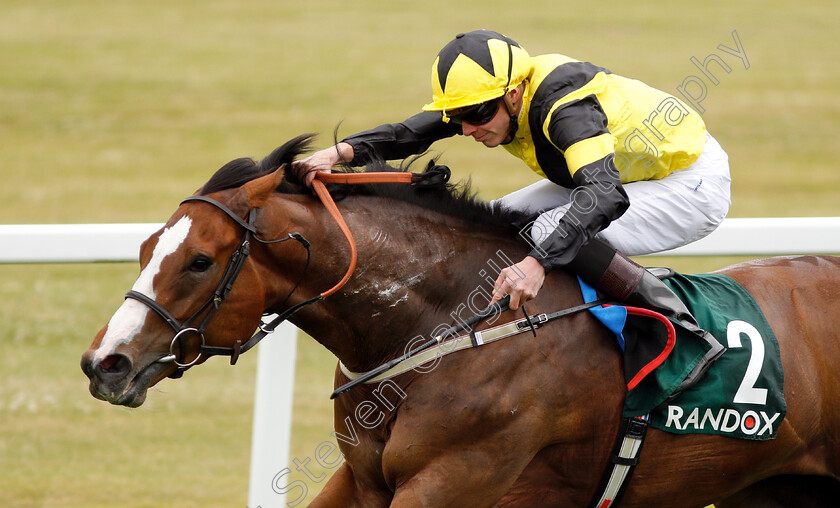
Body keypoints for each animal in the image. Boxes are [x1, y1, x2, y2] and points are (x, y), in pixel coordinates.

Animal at [80, 136, 840, 508]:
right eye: (146, 247)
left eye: (200, 261)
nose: (104, 363)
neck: (444, 331)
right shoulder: (364, 480)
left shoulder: (459, 479)